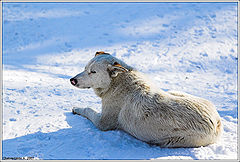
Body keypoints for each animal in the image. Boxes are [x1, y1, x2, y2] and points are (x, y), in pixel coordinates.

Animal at [70, 51, 222, 147]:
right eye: (84, 68)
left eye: (93, 72)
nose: (72, 80)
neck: (116, 83)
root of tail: (216, 122)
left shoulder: (102, 123)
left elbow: (88, 109)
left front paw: (76, 108)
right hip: (177, 92)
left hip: (171, 141)